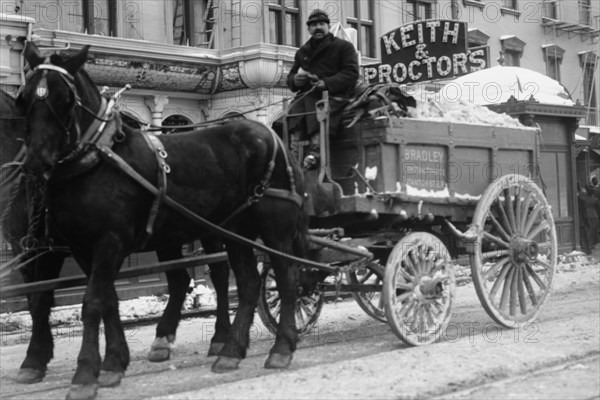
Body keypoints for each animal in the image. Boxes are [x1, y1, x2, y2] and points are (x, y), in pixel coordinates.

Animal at [18, 43, 310, 400]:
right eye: (24, 98)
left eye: (66, 99)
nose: (36, 162)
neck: (97, 160)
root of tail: (273, 135)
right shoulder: (80, 247)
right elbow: (105, 300)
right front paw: (114, 363)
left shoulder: (108, 241)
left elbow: (92, 302)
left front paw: (86, 373)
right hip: (232, 230)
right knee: (247, 283)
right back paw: (230, 351)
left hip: (272, 227)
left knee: (285, 278)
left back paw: (279, 347)